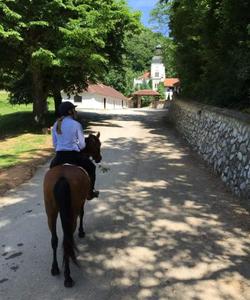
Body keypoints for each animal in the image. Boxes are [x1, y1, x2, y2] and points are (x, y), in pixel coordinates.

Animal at [43, 132, 101, 288]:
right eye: (98, 144)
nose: (99, 158)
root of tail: (62, 177)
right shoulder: (81, 201)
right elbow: (82, 213)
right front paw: (81, 232)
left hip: (51, 211)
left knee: (55, 239)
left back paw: (55, 268)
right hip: (71, 211)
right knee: (67, 238)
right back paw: (68, 277)